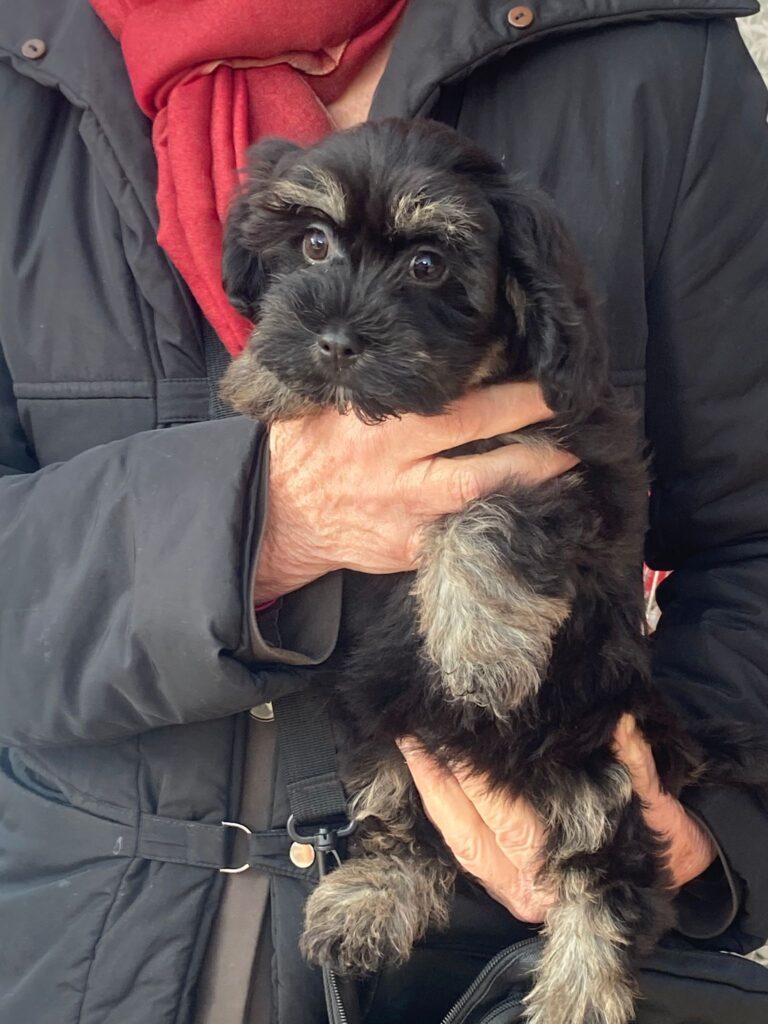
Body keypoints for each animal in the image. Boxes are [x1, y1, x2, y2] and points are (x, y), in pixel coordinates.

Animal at [219, 119, 753, 1024]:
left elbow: (481, 516)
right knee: (399, 818)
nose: (334, 342)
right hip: (387, 716)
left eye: (430, 265)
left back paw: (576, 994)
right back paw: (369, 903)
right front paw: (267, 374)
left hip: (599, 757)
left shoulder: (560, 469)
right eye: (315, 244)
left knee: (606, 881)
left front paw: (479, 653)